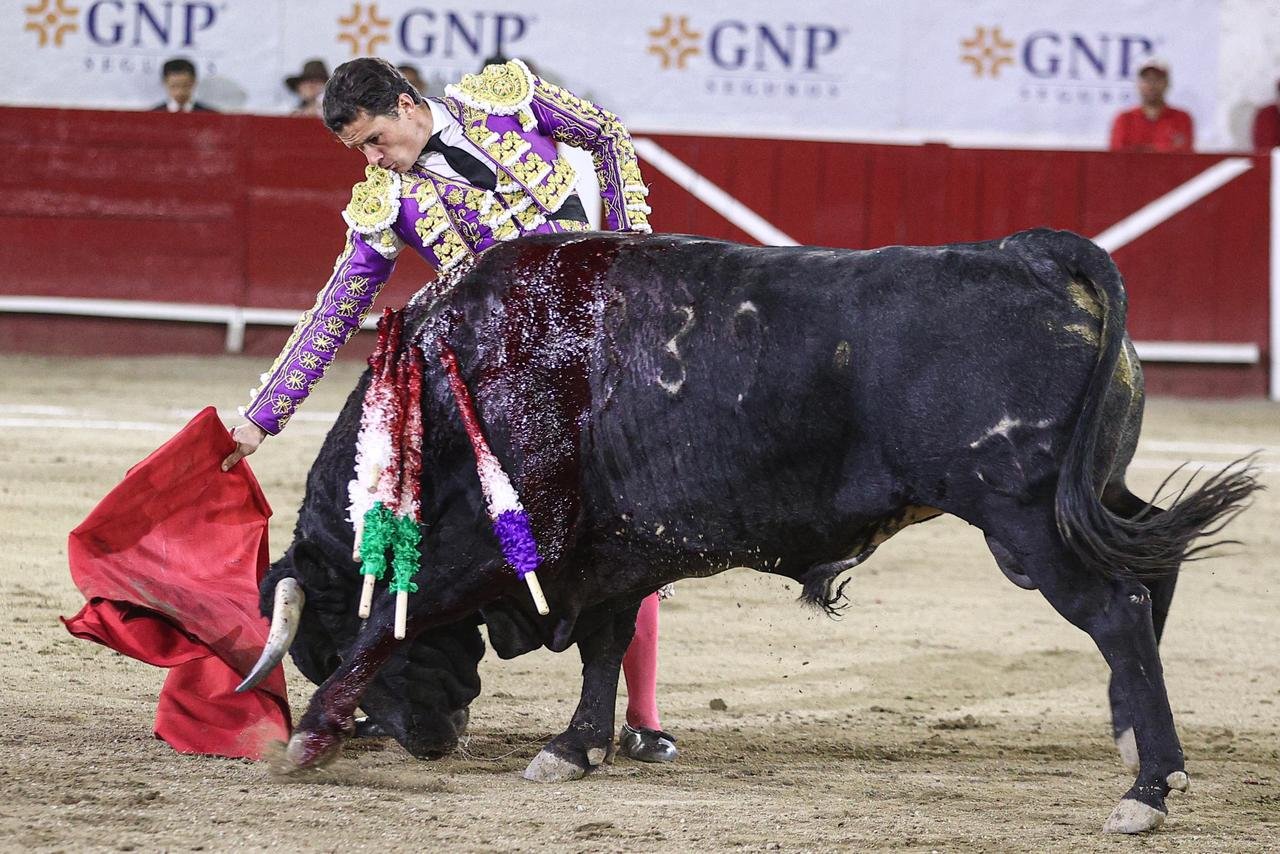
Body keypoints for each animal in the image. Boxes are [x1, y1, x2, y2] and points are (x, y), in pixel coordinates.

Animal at [239, 228, 1257, 834]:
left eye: (317, 645)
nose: (431, 740)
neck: (455, 382)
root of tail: (1033, 253)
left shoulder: (516, 539)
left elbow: (394, 618)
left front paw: (311, 737)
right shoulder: (614, 553)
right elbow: (604, 646)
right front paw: (576, 749)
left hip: (1023, 518)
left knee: (1119, 606)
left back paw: (1148, 790)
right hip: (1086, 495)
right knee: (1154, 567)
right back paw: (1132, 744)